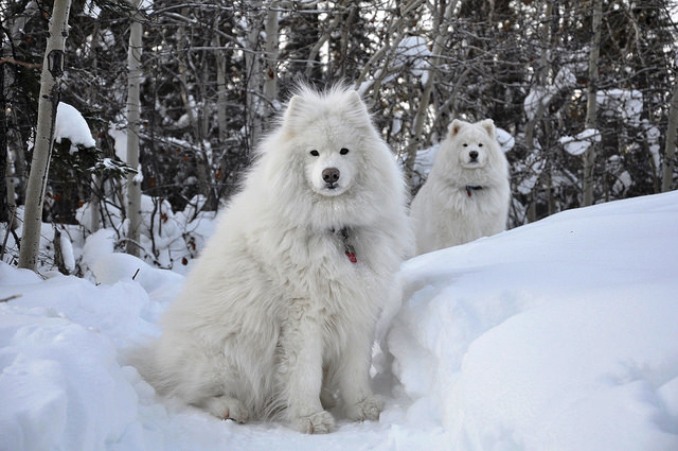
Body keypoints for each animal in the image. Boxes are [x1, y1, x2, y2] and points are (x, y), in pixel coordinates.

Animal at [137, 85, 414, 434]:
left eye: (344, 151)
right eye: (313, 153)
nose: (331, 174)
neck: (335, 228)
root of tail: (159, 362)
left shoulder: (357, 310)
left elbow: (355, 369)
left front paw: (361, 407)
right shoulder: (303, 316)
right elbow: (305, 373)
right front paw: (310, 418)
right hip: (225, 354)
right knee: (194, 393)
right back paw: (231, 407)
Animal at [410, 118, 510, 256]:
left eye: (480, 144)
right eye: (465, 144)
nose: (473, 154)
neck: (471, 187)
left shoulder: (489, 225)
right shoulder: (450, 231)